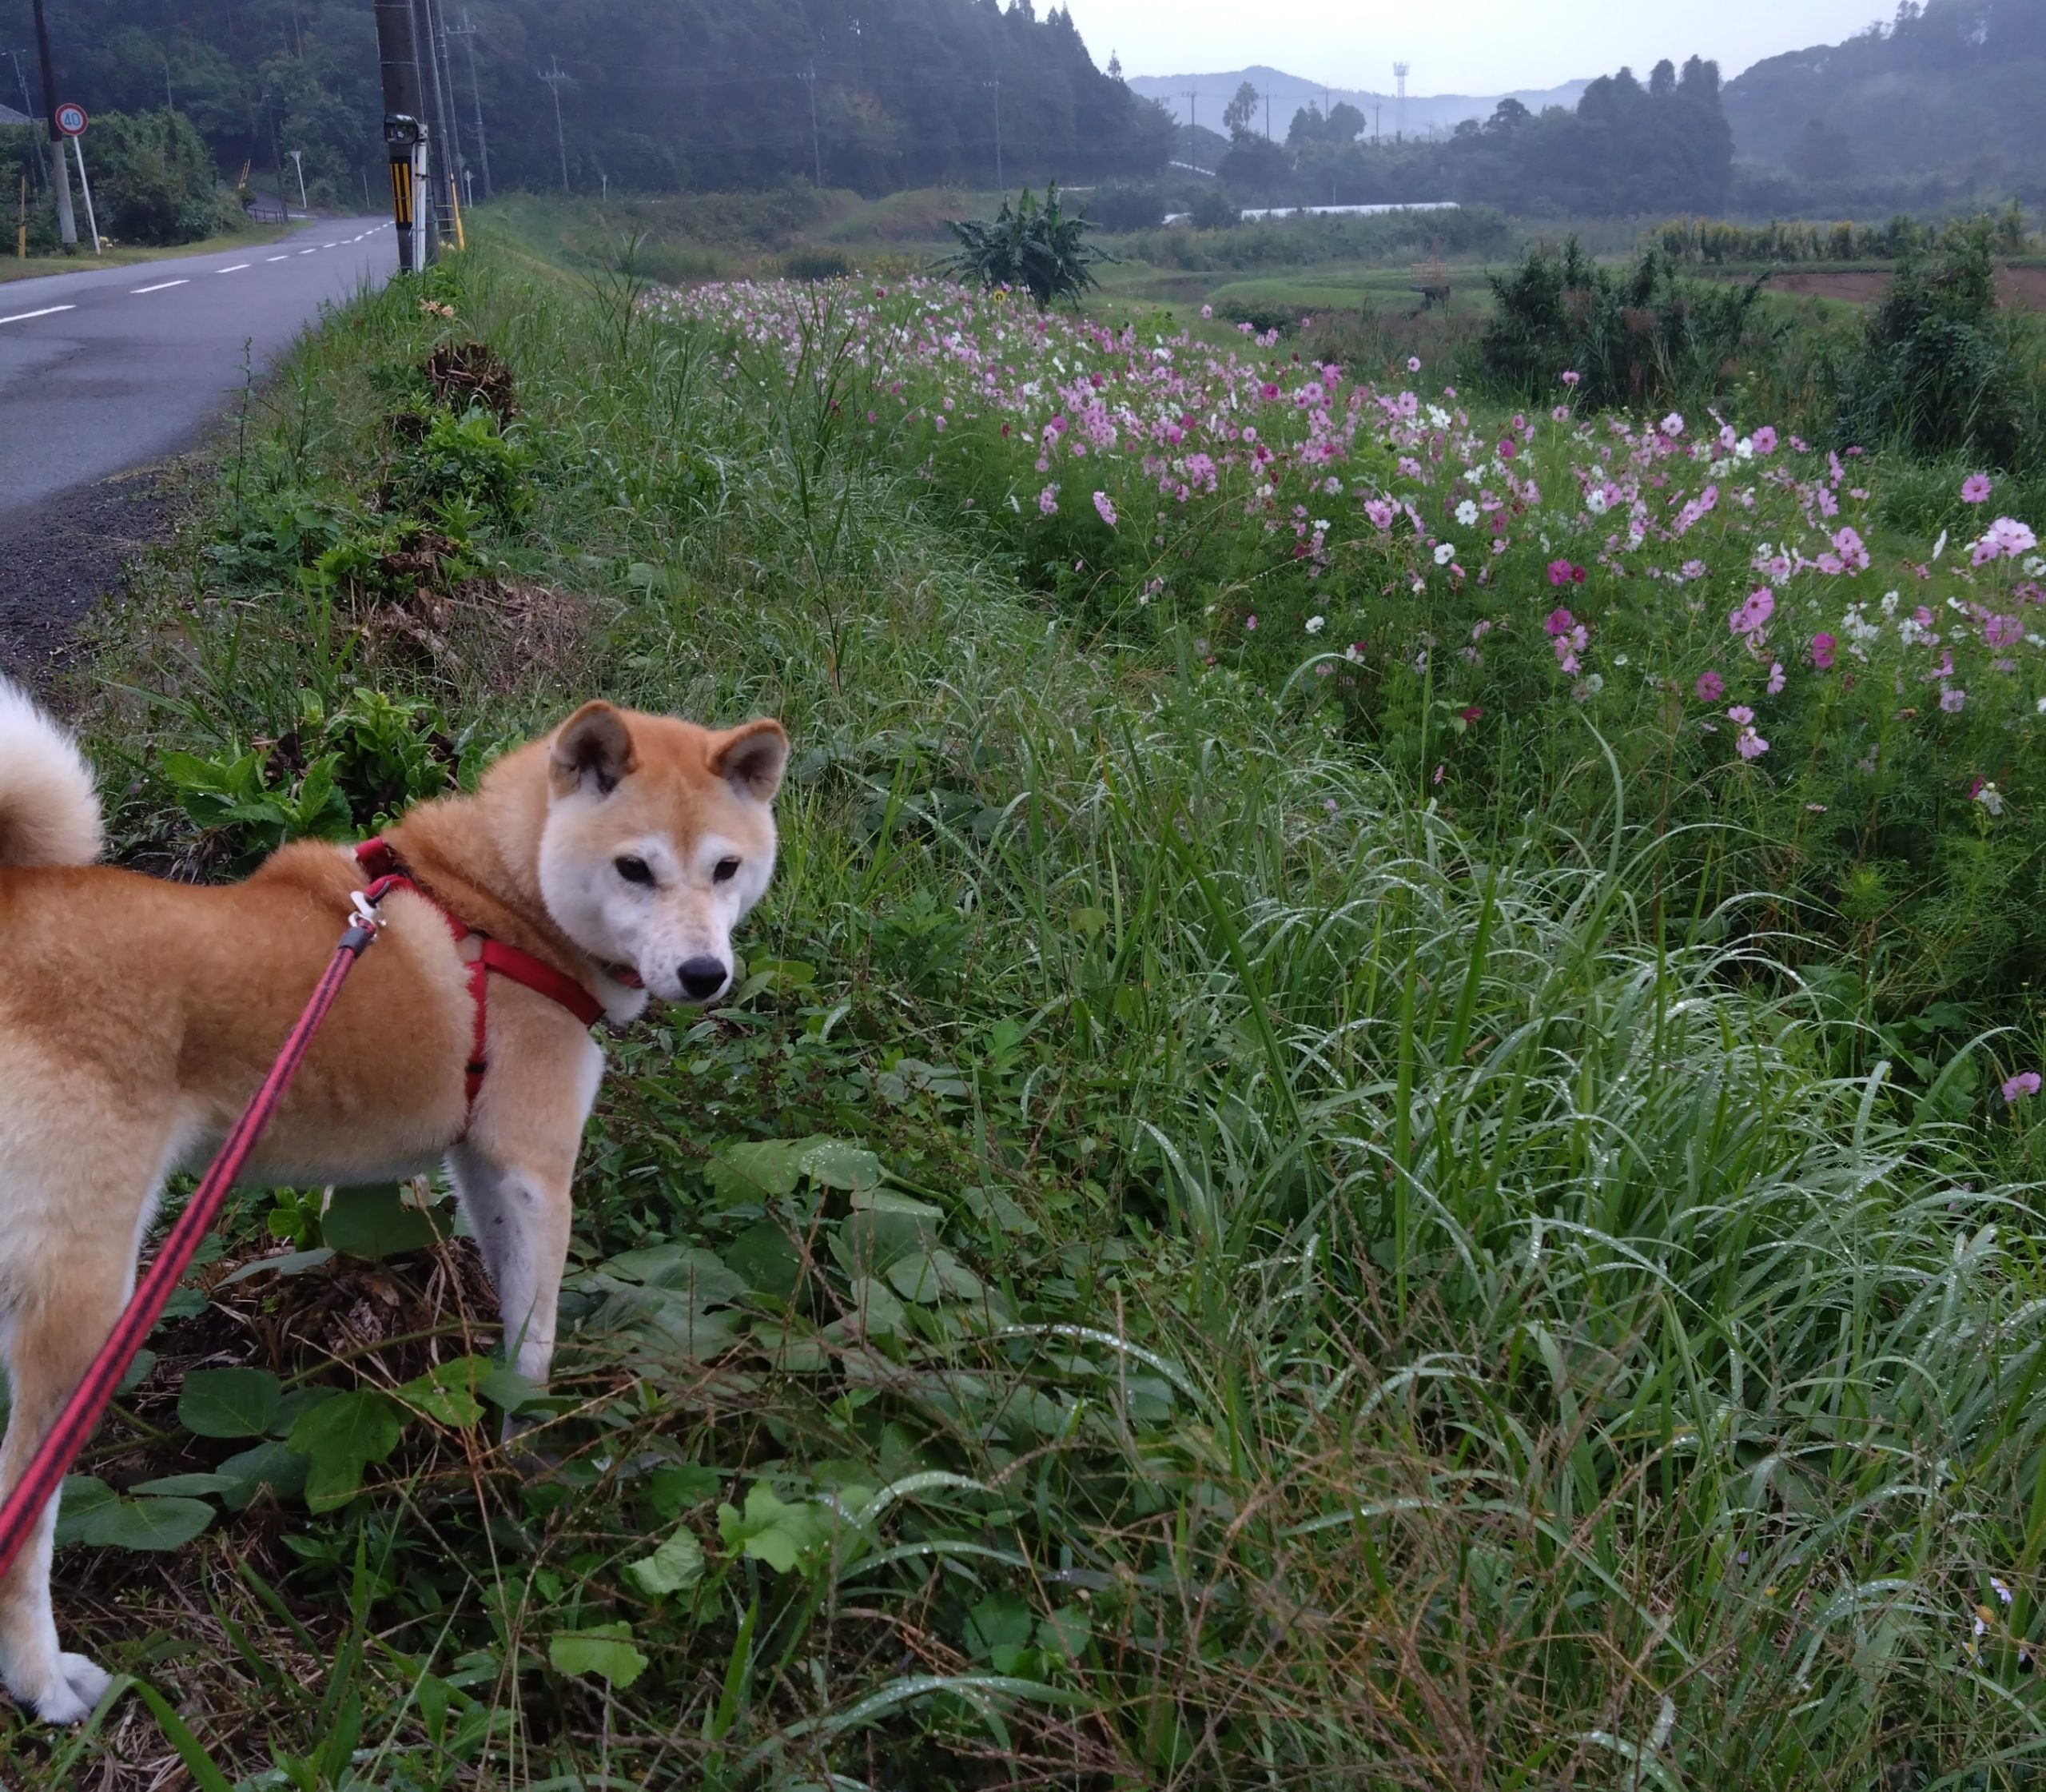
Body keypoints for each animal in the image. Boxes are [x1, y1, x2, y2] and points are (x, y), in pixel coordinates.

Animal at [0, 687, 781, 1718]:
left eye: (726, 868)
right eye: (634, 868)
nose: (704, 975)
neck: (496, 903)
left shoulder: (468, 1165)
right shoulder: (533, 1168)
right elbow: (534, 1345)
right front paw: (524, 1469)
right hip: (89, 1303)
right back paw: (45, 1683)